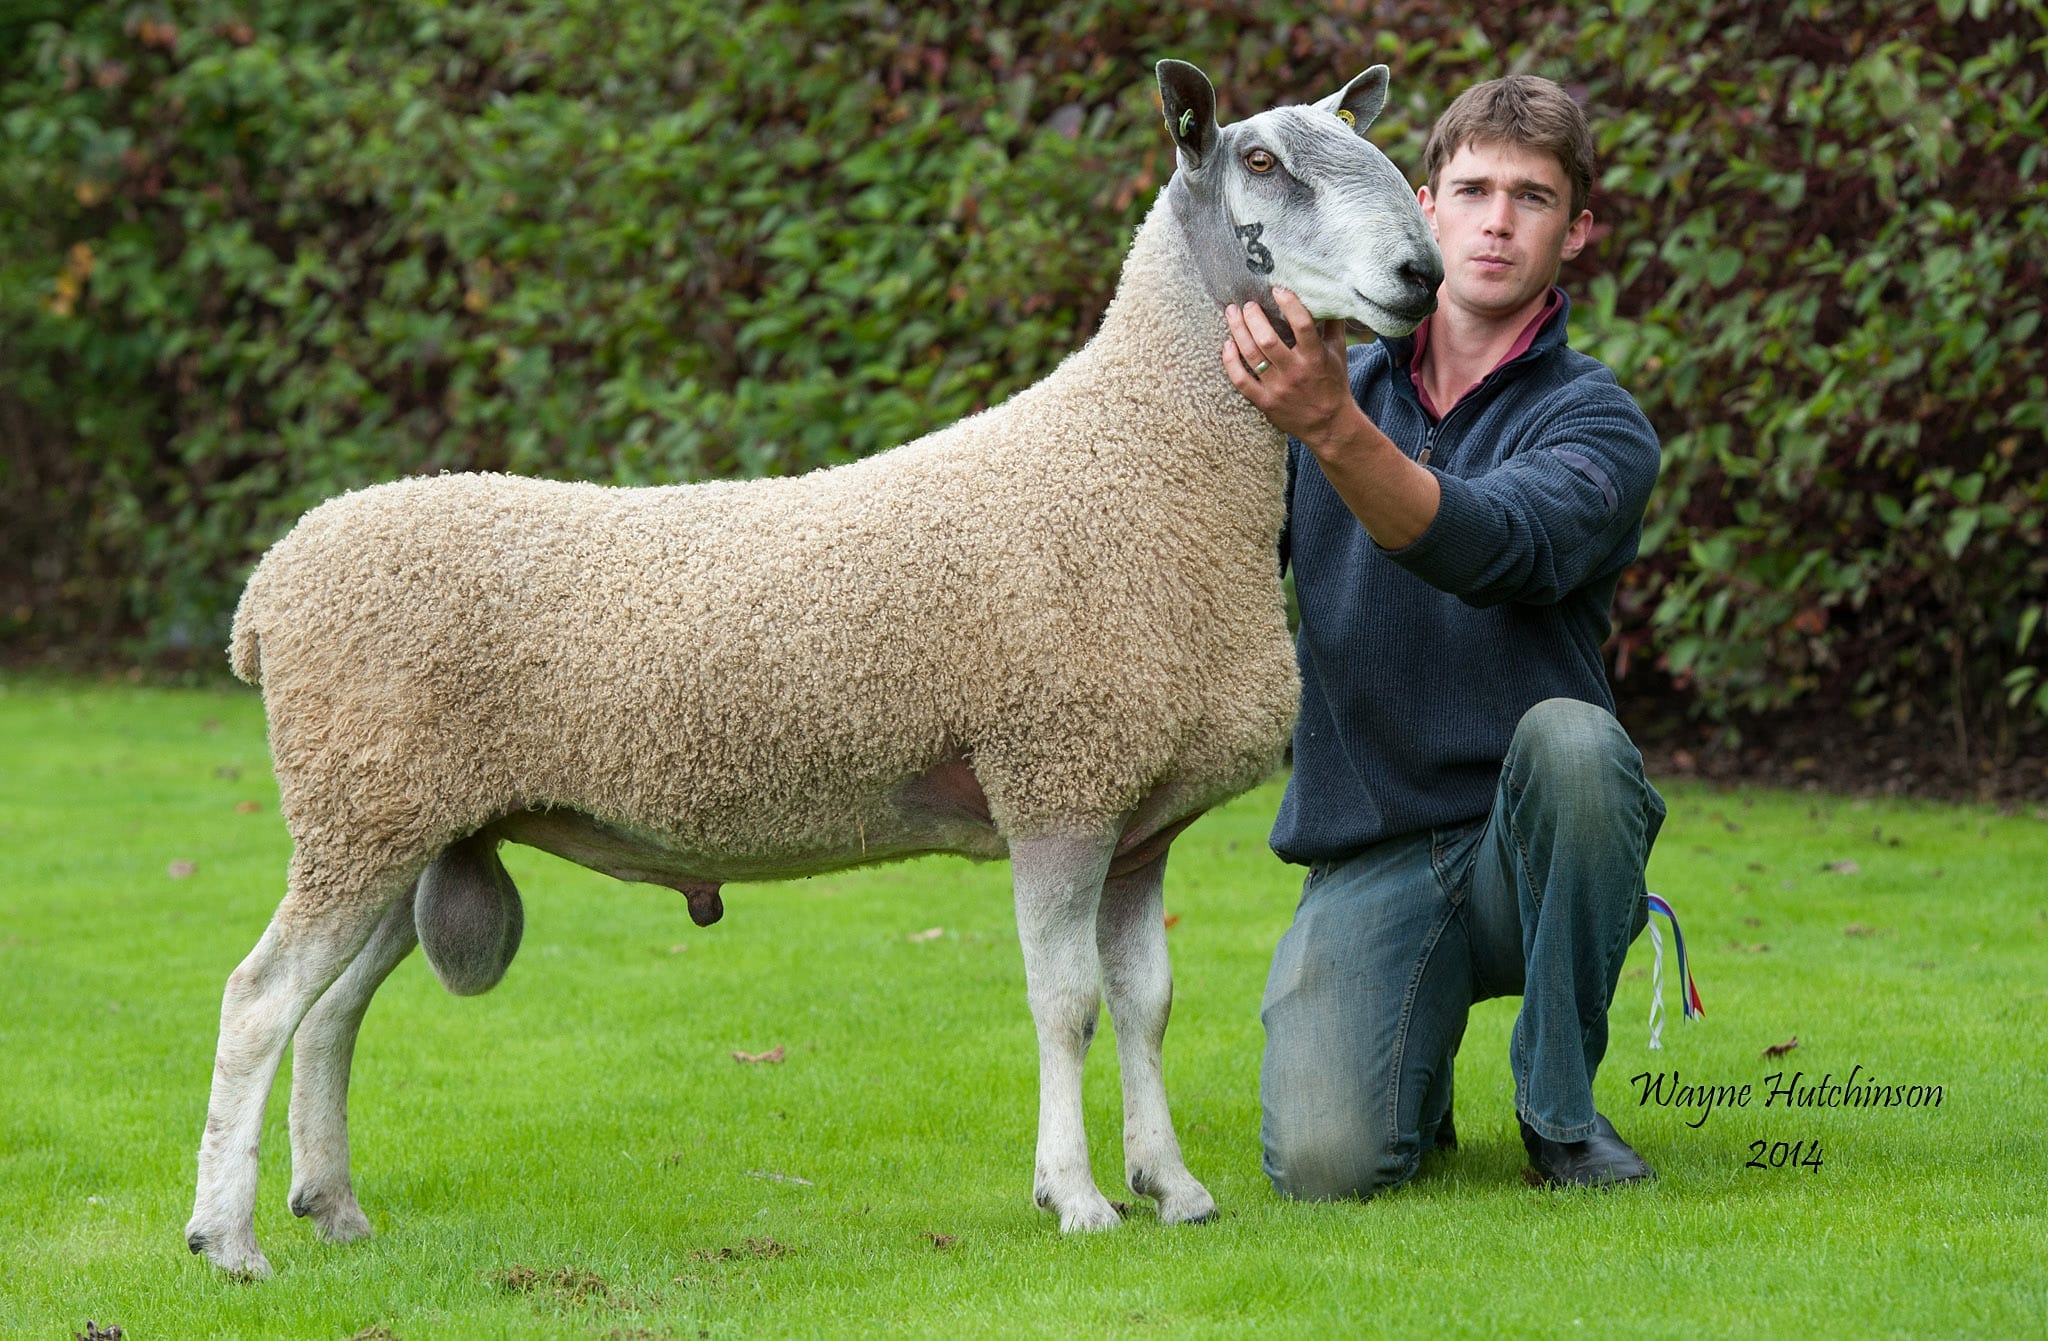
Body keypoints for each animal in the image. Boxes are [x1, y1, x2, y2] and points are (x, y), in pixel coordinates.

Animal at [188, 60, 1441, 1277]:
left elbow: (1146, 1005)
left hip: (404, 819)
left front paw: (1170, 1187)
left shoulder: (1137, 816)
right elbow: (1066, 1005)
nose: (1420, 273)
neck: (1139, 457)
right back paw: (227, 1239)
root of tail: (269, 588)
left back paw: (332, 1208)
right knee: (258, 1000)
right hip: (361, 804)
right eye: (1262, 163)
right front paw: (1076, 1198)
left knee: (330, 1011)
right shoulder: (1054, 779)